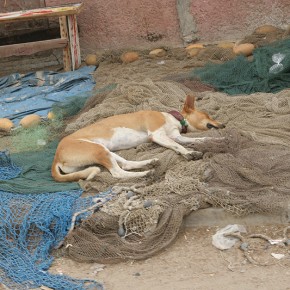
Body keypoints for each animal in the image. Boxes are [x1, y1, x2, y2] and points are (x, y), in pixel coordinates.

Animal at [51, 94, 224, 181]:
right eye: (207, 115)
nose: (222, 125)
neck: (173, 118)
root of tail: (56, 157)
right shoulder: (157, 135)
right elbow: (179, 146)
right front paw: (189, 153)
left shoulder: (175, 136)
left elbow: (198, 140)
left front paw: (215, 141)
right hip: (98, 150)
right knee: (118, 173)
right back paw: (145, 173)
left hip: (104, 151)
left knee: (126, 165)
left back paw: (149, 163)